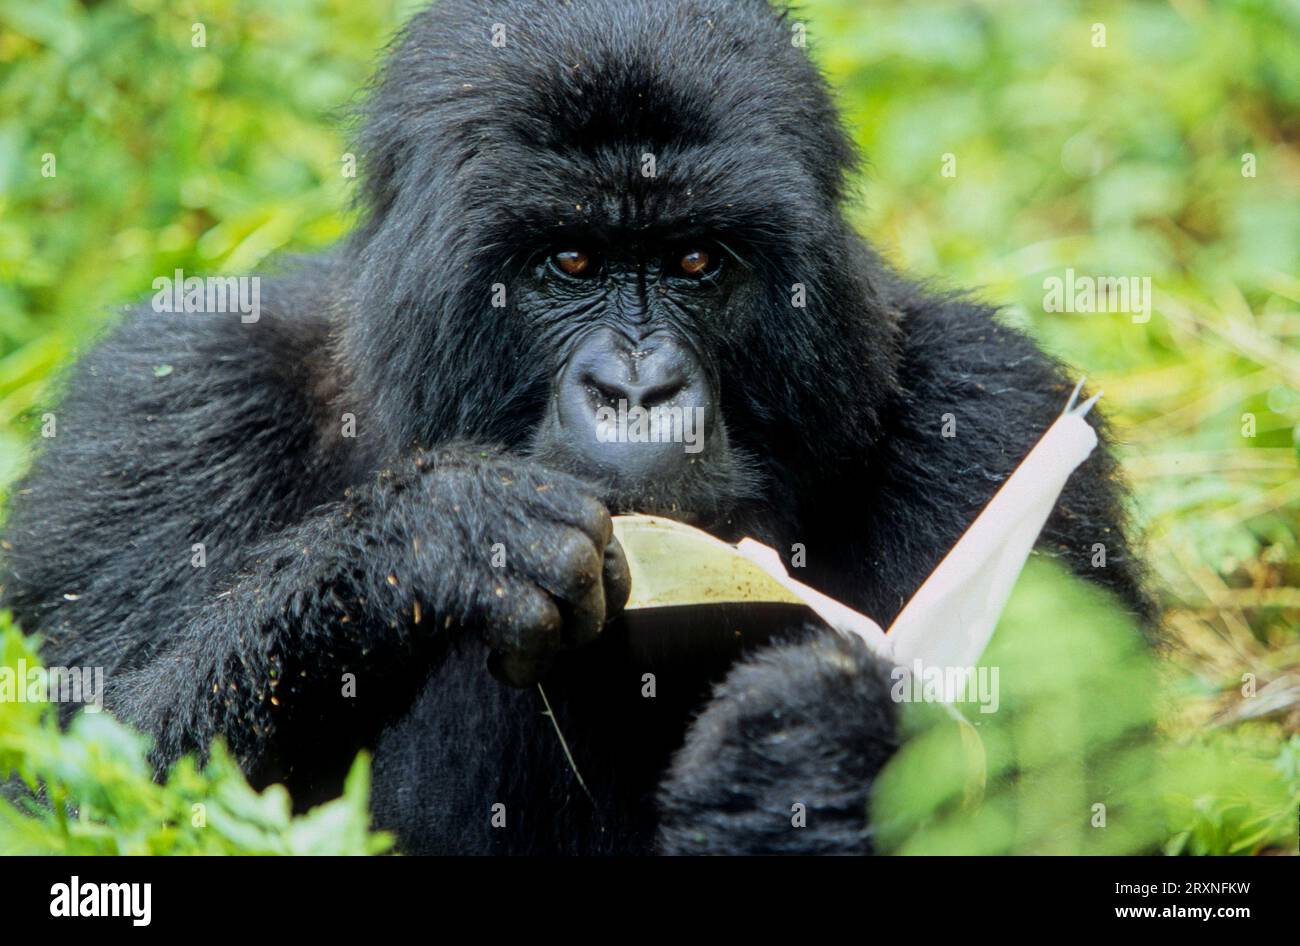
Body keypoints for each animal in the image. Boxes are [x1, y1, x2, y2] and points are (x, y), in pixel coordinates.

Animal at [2, 0, 1149, 857]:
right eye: (570, 261)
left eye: (696, 261)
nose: (637, 390)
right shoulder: (169, 400)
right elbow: (75, 778)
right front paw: (422, 548)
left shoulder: (992, 411)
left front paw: (804, 754)